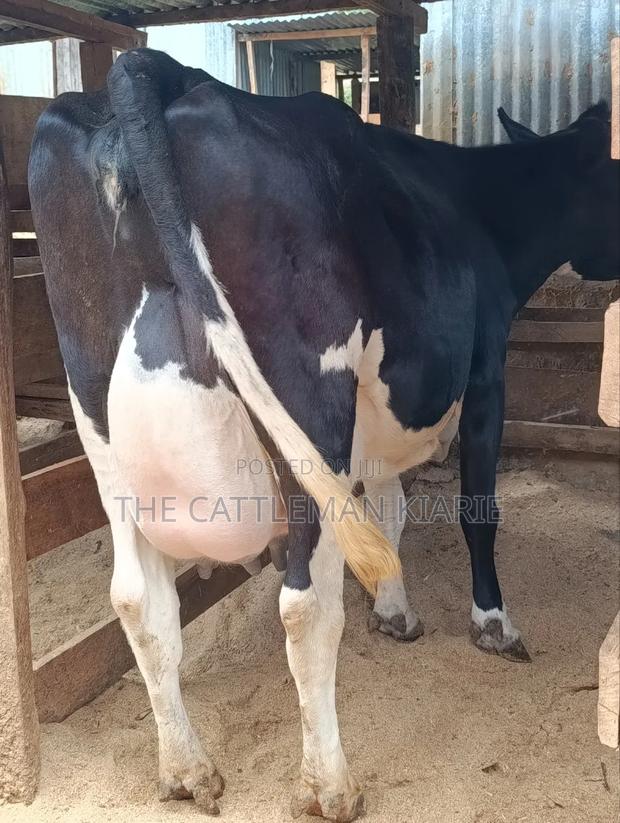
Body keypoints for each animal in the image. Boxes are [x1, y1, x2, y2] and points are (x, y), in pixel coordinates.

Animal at [29, 48, 618, 821]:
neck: (480, 211)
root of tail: (151, 66)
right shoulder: (487, 368)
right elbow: (476, 510)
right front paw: (492, 623)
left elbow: (387, 506)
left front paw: (395, 610)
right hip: (309, 399)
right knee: (305, 606)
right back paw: (329, 784)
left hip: (98, 415)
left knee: (137, 599)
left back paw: (186, 768)